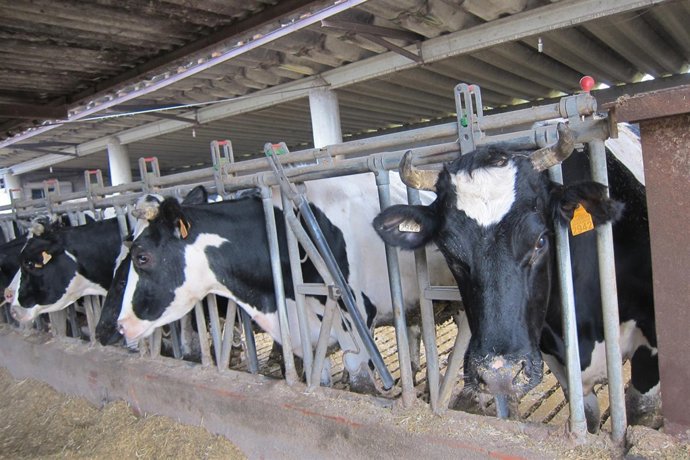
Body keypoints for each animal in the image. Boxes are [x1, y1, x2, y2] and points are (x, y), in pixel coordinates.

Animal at [115, 174, 455, 393]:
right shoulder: (306, 338)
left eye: (141, 257)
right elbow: (320, 380)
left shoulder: (357, 325)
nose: (121, 325)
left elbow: (361, 385)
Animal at [373, 122, 658, 431]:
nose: (499, 374)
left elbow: (641, 408)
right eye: (450, 253)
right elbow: (588, 415)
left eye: (541, 241)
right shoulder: (552, 354)